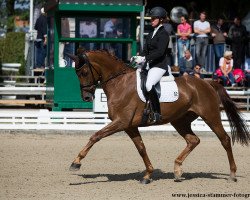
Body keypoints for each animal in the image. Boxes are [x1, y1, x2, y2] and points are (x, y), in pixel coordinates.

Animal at [67, 49, 249, 183]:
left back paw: (232, 174)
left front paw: (76, 162)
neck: (119, 83)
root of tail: (208, 82)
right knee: (193, 140)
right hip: (180, 121)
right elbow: (141, 148)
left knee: (224, 139)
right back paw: (177, 170)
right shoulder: (130, 126)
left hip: (210, 116)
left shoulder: (121, 122)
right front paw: (148, 175)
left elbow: (95, 136)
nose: (86, 97)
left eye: (84, 72)